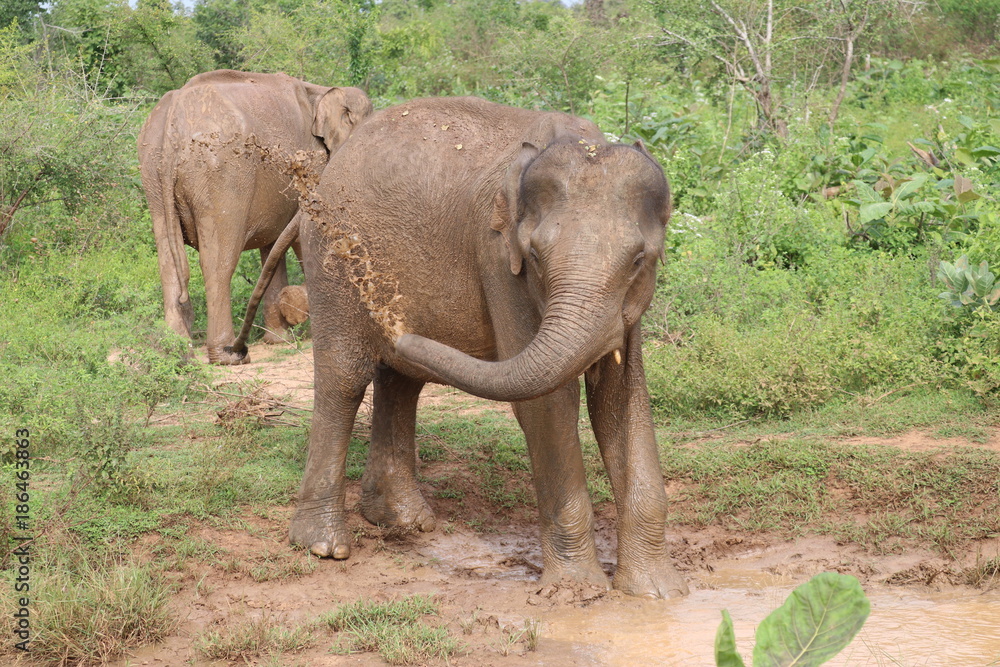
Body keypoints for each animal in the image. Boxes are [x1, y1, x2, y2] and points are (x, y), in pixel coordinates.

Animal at [137, 69, 372, 364]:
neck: (323, 90)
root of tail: (173, 125)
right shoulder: (313, 162)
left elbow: (274, 249)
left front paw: (280, 338)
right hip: (221, 174)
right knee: (218, 262)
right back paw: (229, 356)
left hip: (153, 175)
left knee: (168, 262)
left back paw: (178, 354)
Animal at [230, 96, 688, 599]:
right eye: (535, 257)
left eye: (639, 260)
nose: (391, 315)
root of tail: (325, 176)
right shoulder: (498, 258)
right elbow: (549, 404)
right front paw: (577, 592)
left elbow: (621, 400)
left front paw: (658, 592)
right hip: (332, 257)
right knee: (344, 378)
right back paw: (323, 546)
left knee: (401, 380)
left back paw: (403, 522)